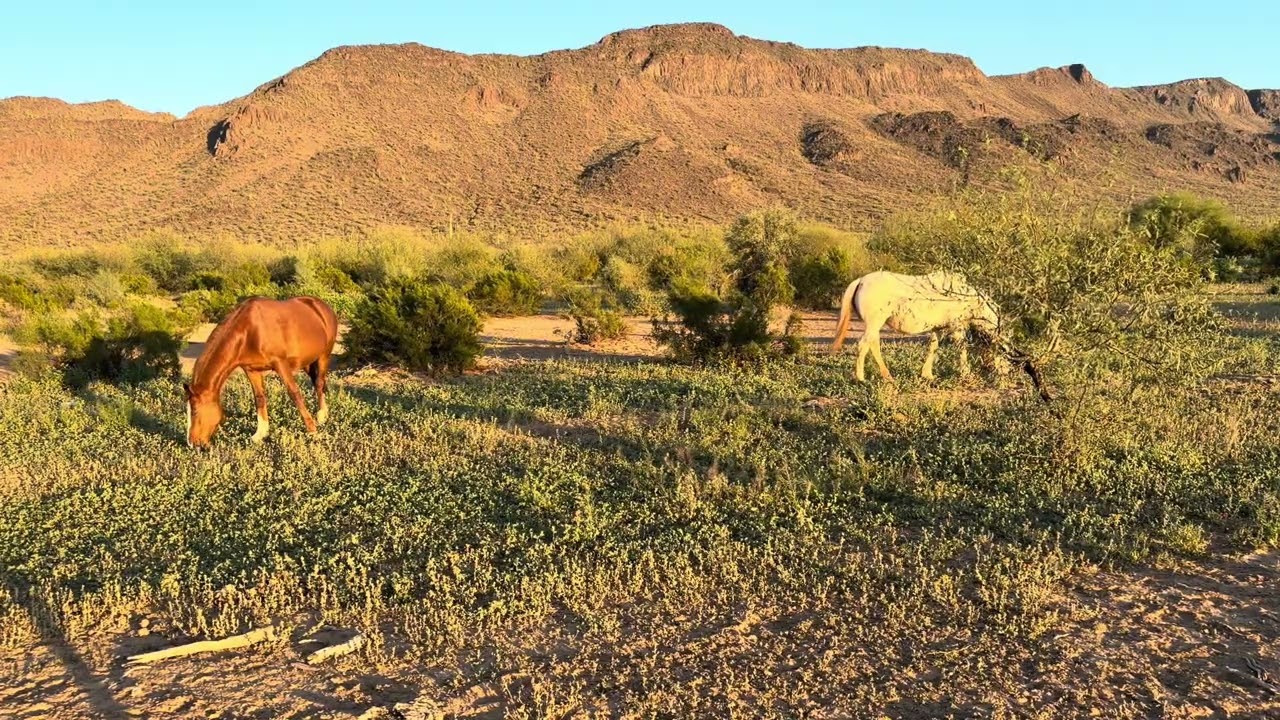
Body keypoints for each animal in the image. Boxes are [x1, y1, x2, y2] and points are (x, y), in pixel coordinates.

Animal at [184, 296, 338, 447]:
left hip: (324, 355)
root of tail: (322, 306)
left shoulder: (280, 363)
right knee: (317, 381)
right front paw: (260, 433)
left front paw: (312, 430)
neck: (249, 331)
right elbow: (259, 397)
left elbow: (294, 393)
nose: (192, 443)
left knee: (319, 382)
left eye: (194, 410)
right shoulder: (251, 370)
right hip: (307, 361)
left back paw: (321, 416)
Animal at [831, 271, 1052, 401]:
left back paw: (888, 376)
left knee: (873, 344)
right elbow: (961, 347)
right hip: (875, 322)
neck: (969, 297)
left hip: (875, 325)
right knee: (863, 344)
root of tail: (861, 281)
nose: (1006, 382)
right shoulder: (957, 326)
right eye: (1008, 361)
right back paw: (861, 377)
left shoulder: (937, 328)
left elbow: (933, 346)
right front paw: (965, 373)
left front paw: (927, 374)